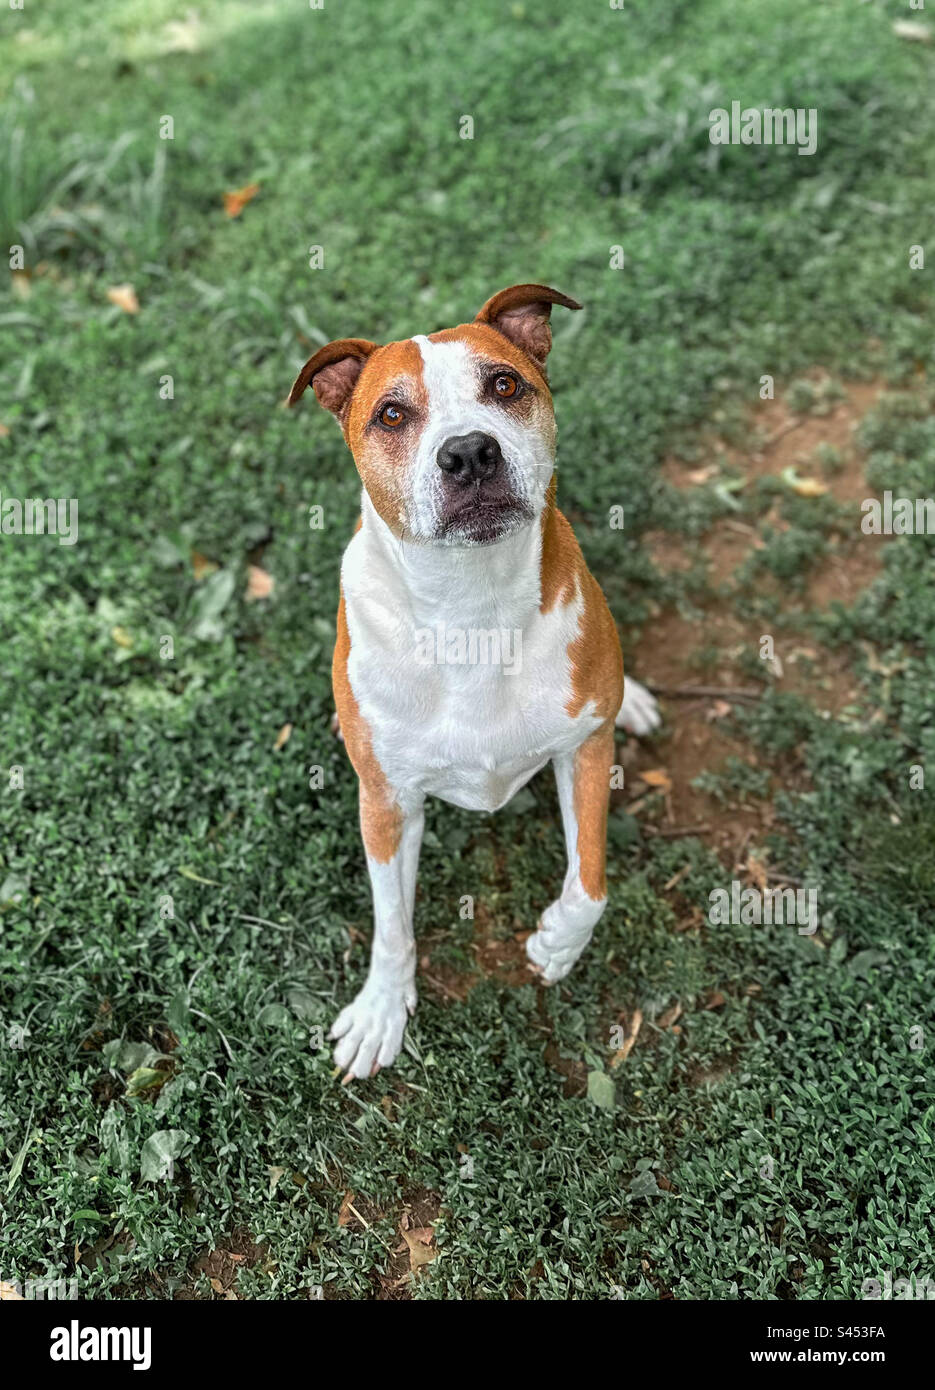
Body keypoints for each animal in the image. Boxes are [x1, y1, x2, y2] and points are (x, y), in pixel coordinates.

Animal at [287, 284, 661, 1084]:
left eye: (505, 385)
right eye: (391, 415)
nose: (467, 452)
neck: (473, 610)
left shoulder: (584, 751)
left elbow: (590, 882)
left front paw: (555, 944)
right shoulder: (386, 803)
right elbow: (391, 925)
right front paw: (381, 1009)